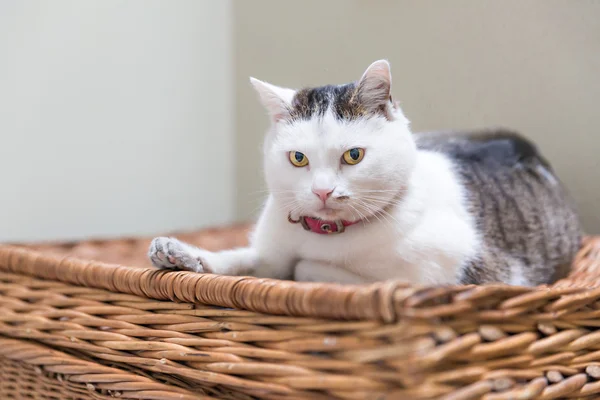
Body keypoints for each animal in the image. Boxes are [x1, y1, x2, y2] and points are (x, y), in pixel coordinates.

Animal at [148, 59, 584, 286]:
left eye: (354, 156)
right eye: (298, 159)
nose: (323, 192)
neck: (325, 237)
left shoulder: (457, 278)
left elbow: (310, 270)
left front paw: (306, 270)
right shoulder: (269, 252)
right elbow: (241, 260)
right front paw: (180, 253)